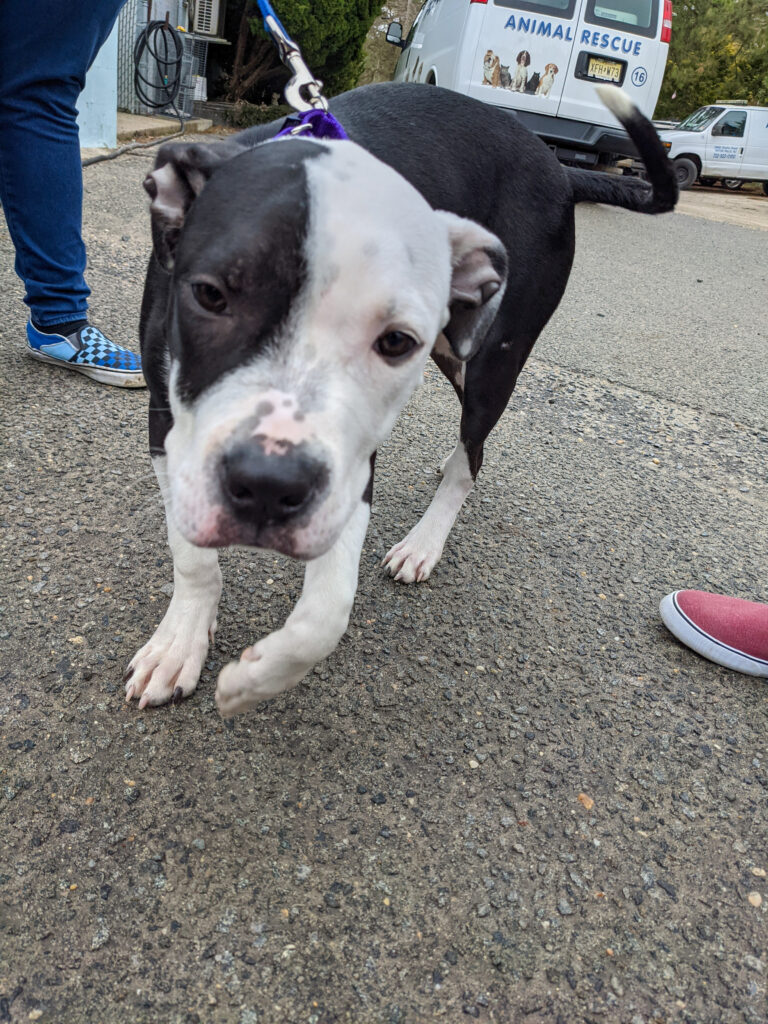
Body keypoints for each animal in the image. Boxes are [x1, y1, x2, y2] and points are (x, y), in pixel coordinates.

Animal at [128, 83, 679, 716]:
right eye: (210, 295)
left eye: (393, 341)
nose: (268, 484)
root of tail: (554, 163)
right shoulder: (167, 421)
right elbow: (193, 558)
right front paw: (181, 642)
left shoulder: (353, 461)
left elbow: (327, 611)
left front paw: (253, 680)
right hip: (453, 346)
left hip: (494, 358)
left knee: (474, 453)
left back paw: (425, 540)